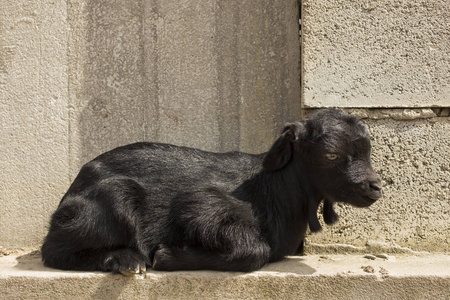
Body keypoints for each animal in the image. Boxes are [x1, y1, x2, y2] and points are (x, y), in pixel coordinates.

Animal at [41, 109, 380, 274]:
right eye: (331, 154)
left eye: (367, 150)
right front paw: (165, 256)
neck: (273, 189)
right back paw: (127, 261)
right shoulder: (204, 207)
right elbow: (255, 250)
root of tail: (73, 189)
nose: (374, 186)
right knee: (54, 252)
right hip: (114, 197)